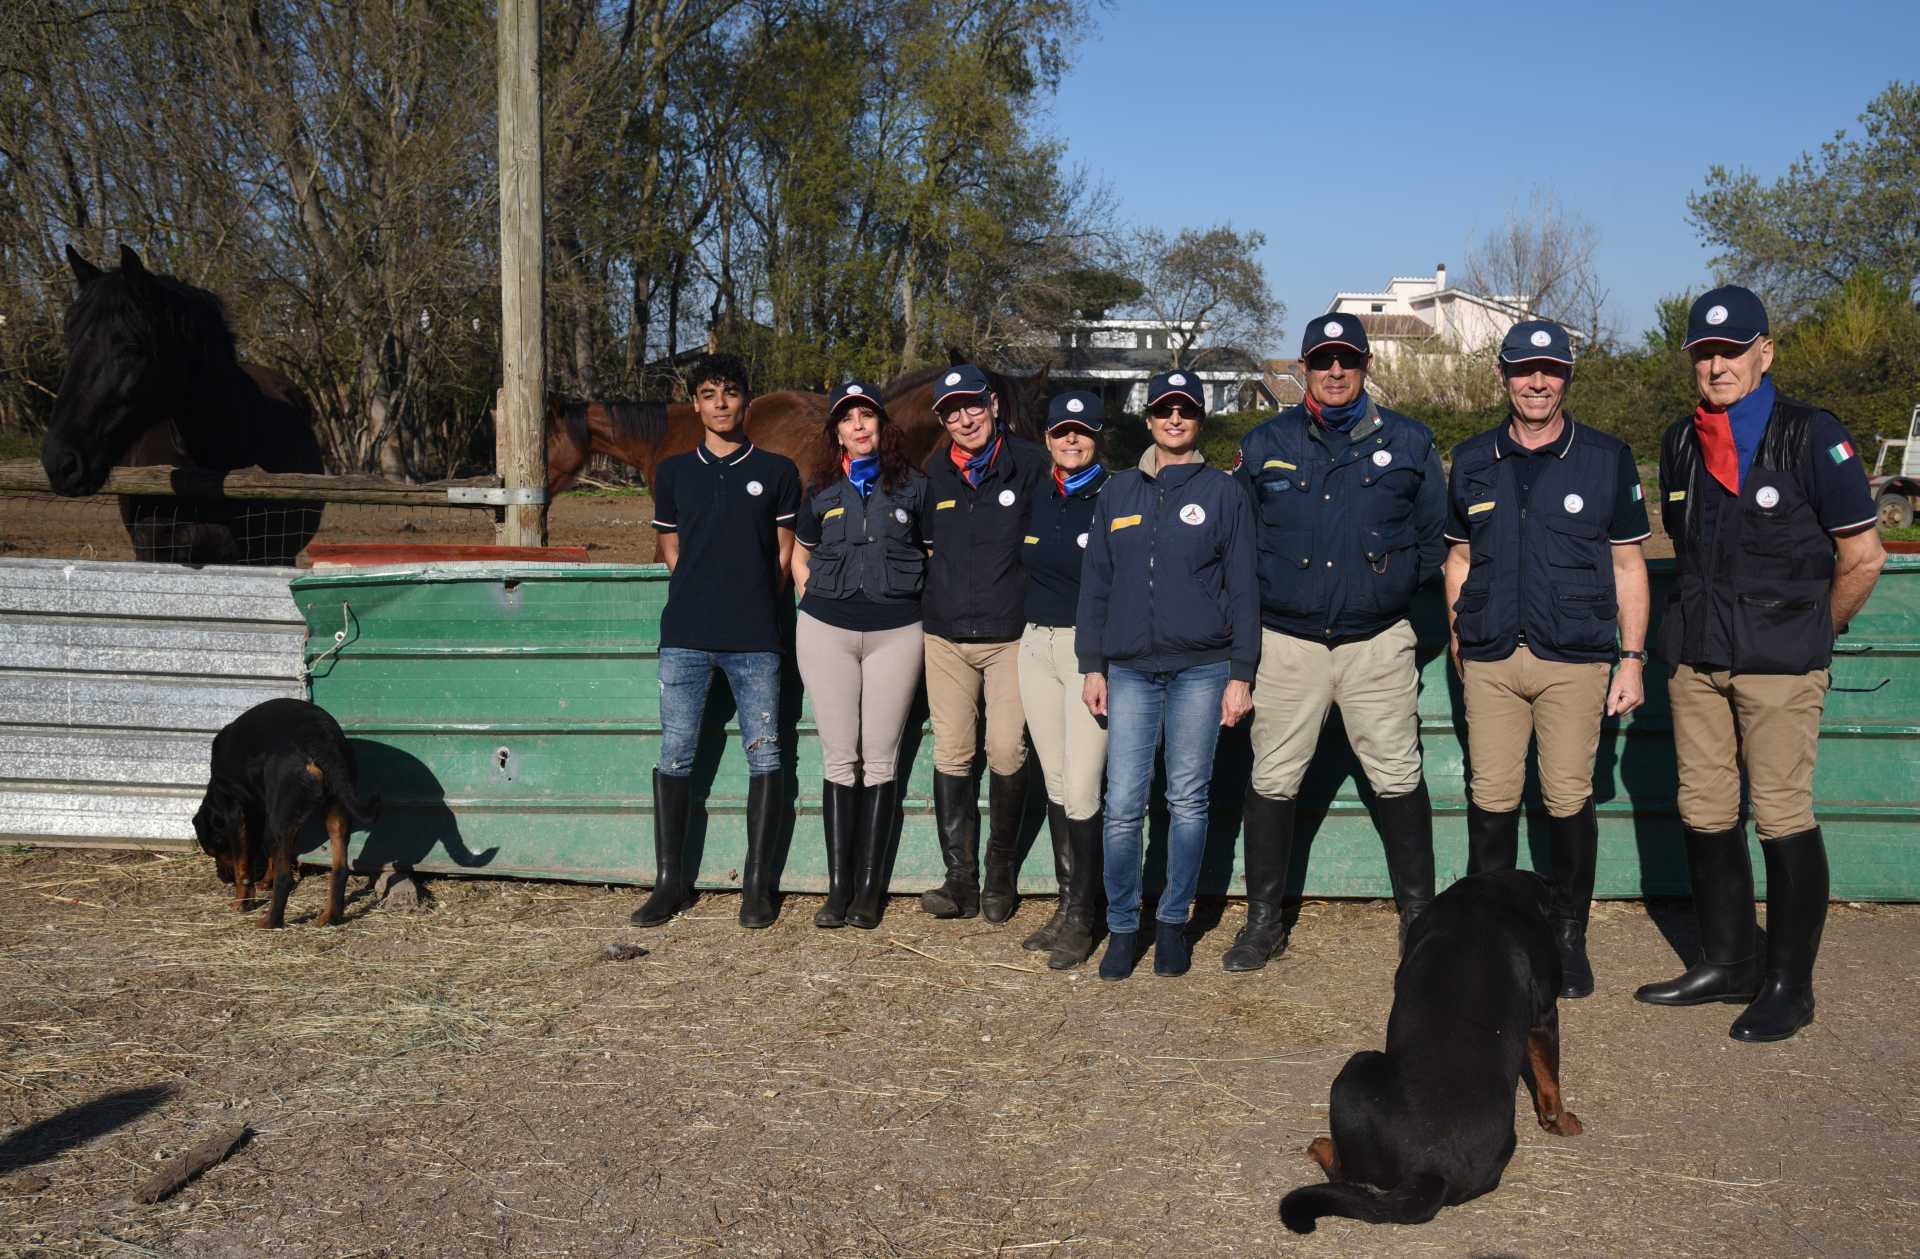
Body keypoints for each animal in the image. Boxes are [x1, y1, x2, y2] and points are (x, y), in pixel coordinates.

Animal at [194, 694, 378, 928]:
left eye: (213, 850)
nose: (222, 878)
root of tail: (320, 738)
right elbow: (267, 852)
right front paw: (264, 883)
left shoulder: (237, 814)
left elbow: (242, 865)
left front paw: (242, 902)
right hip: (335, 809)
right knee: (340, 869)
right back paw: (330, 916)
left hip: (282, 814)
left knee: (286, 878)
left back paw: (270, 921)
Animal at [1282, 871, 1582, 1235]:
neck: (1488, 896)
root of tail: (1432, 1170)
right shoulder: (1544, 1013)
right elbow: (1549, 1076)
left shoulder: (1543, 1016)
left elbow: (1549, 1080)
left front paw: (1558, 1121)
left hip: (1357, 1067)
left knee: (1349, 1176)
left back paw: (1322, 1146)